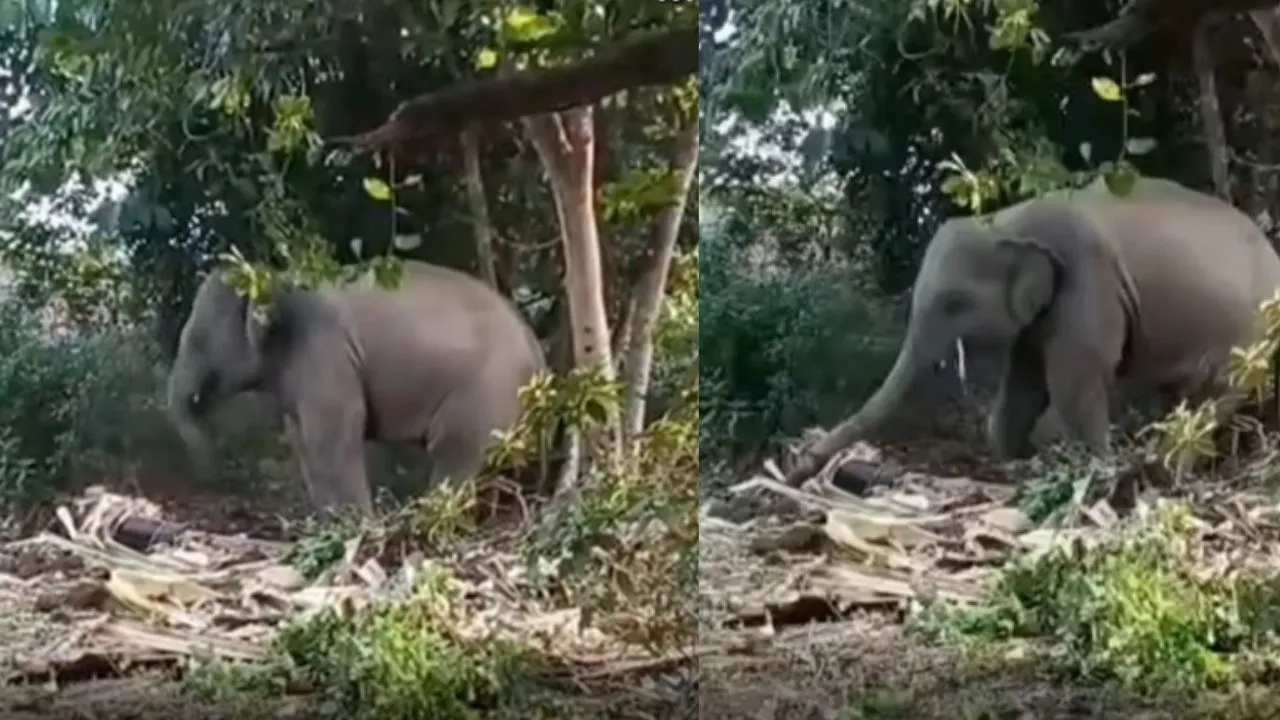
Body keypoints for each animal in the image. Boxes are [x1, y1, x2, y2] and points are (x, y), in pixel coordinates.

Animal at [166, 260, 546, 515]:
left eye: (199, 340)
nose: (216, 474)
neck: (278, 278)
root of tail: (537, 350)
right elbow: (304, 443)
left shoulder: (325, 353)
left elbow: (334, 438)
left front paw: (357, 527)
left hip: (486, 393)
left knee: (454, 454)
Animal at [785, 176, 1280, 486]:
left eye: (954, 303)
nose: (796, 466)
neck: (1007, 220)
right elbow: (1023, 386)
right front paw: (1012, 461)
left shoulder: (1087, 281)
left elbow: (1074, 383)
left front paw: (1096, 468)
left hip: (1249, 336)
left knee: (1214, 397)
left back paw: (1163, 469)